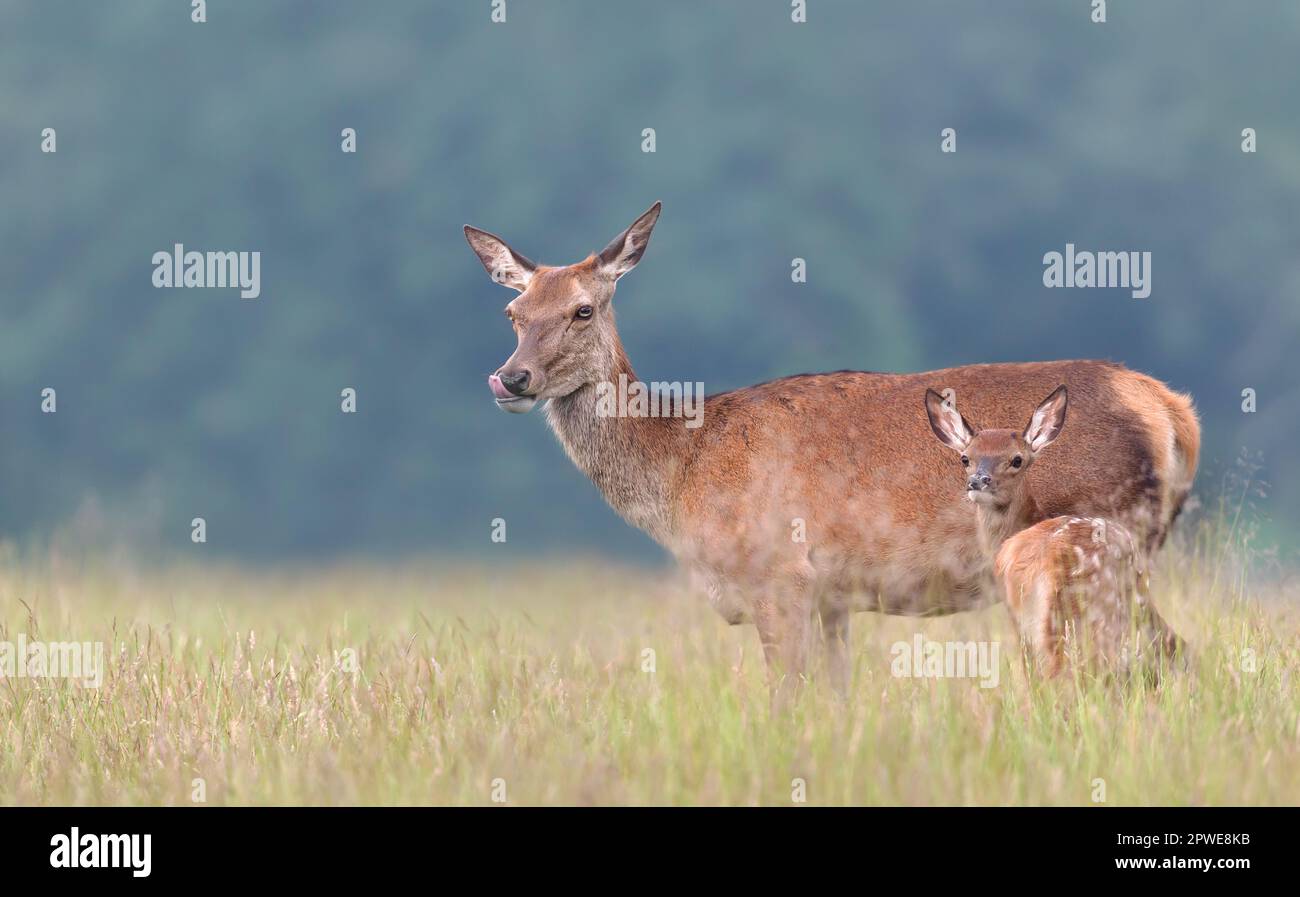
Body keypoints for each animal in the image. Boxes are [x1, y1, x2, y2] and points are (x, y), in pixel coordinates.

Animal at [465, 202, 1196, 696]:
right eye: (513, 313)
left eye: (583, 309)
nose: (511, 377)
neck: (680, 476)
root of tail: (1172, 411)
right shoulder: (832, 596)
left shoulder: (779, 573)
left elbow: (785, 698)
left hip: (1096, 546)